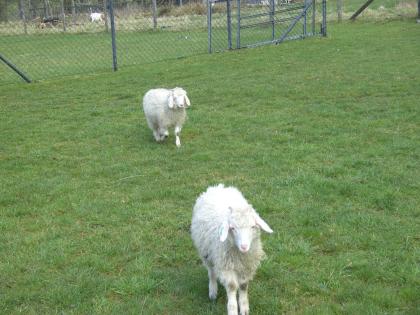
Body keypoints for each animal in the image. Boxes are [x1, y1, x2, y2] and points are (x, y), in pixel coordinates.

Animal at [192, 185, 274, 315]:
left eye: (252, 226)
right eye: (233, 228)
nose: (244, 246)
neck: (240, 255)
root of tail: (218, 186)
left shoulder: (247, 266)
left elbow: (244, 285)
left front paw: (244, 308)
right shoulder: (225, 265)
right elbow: (231, 286)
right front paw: (233, 309)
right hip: (207, 253)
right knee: (211, 272)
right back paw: (213, 291)